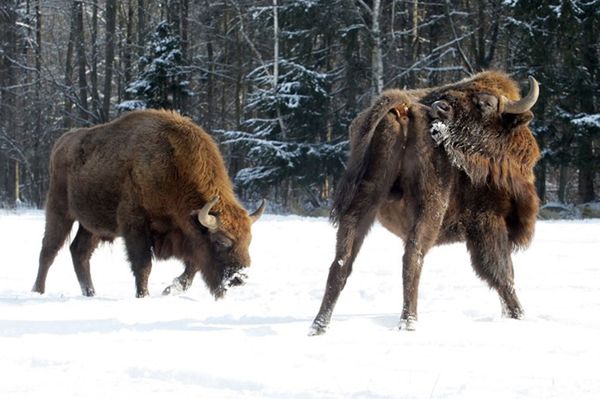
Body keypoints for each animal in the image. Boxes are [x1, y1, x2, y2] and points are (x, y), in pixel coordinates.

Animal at [32, 108, 264, 298]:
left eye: (249, 241)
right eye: (221, 242)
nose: (240, 277)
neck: (172, 166)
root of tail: (62, 142)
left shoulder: (183, 235)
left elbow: (192, 266)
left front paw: (170, 289)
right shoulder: (135, 224)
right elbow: (143, 264)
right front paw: (143, 295)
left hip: (92, 225)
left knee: (79, 251)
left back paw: (90, 293)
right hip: (59, 211)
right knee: (48, 250)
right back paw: (38, 291)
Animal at [310, 71, 540, 334]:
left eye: (486, 104)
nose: (441, 107)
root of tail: (403, 106)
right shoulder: (489, 222)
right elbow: (503, 275)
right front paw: (518, 316)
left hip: (366, 196)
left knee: (341, 261)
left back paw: (319, 325)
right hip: (430, 205)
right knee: (413, 256)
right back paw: (408, 322)